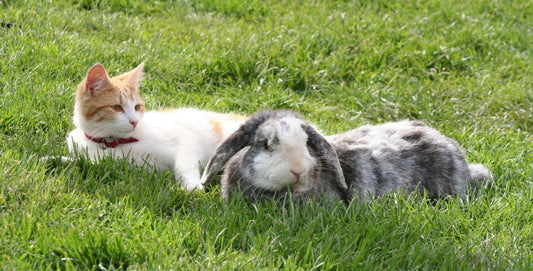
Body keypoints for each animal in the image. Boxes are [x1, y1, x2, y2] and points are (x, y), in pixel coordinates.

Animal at [66, 63, 247, 191]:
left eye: (137, 107)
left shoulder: (186, 139)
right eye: (116, 107)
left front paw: (191, 187)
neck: (117, 143)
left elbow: (183, 164)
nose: (135, 122)